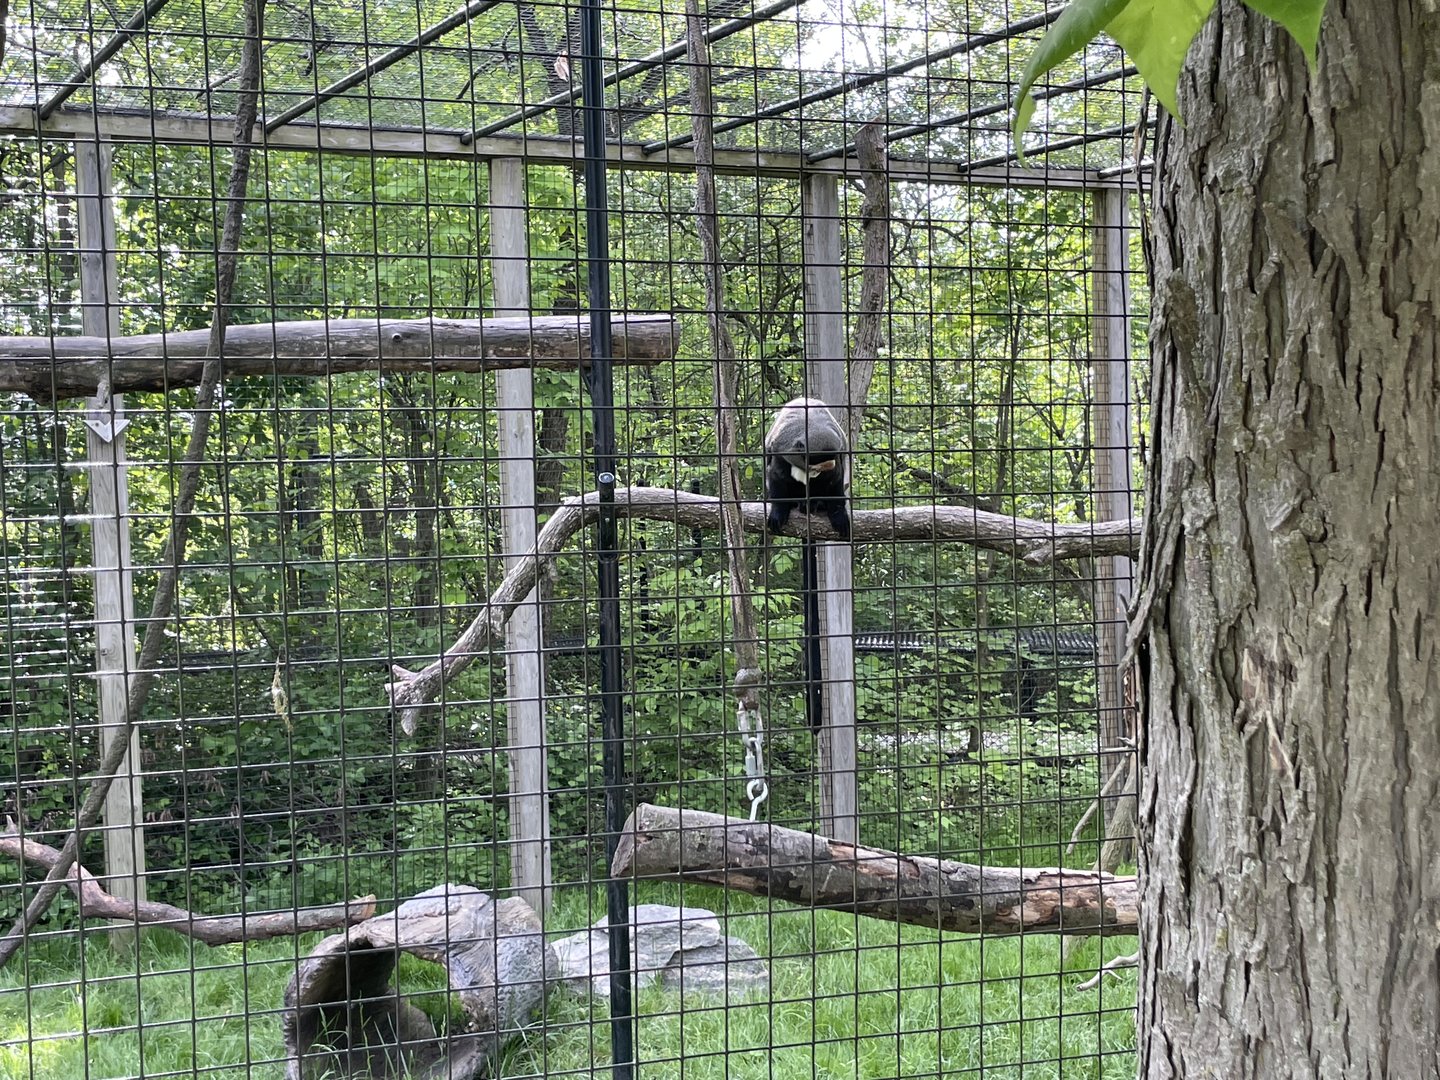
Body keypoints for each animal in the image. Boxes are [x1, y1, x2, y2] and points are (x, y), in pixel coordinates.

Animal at [763, 397, 852, 729]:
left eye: (824, 463)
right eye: (811, 462)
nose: (816, 475)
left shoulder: (837, 459)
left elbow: (837, 486)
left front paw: (837, 513)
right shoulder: (779, 450)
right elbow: (777, 477)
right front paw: (779, 511)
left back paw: (815, 506)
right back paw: (801, 504)